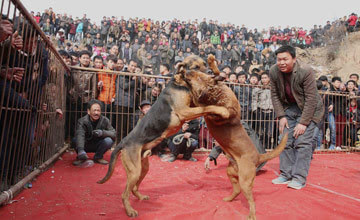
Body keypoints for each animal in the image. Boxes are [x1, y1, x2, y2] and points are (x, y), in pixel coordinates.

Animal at [97, 54, 229, 217]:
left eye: (204, 63)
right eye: (195, 68)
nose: (211, 71)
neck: (181, 83)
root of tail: (123, 142)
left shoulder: (193, 103)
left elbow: (204, 105)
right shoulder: (185, 111)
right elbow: (207, 107)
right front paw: (222, 110)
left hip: (143, 168)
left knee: (134, 188)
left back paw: (141, 197)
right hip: (134, 170)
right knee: (124, 194)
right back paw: (130, 211)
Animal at [178, 54, 290, 219]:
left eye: (198, 76)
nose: (186, 71)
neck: (215, 96)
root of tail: (258, 156)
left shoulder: (223, 108)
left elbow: (218, 102)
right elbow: (214, 82)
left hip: (245, 180)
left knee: (251, 200)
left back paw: (251, 214)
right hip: (231, 172)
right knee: (237, 190)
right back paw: (229, 199)